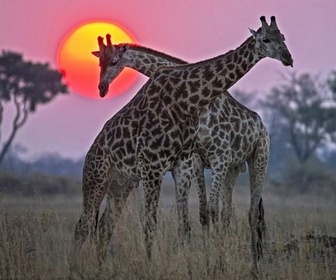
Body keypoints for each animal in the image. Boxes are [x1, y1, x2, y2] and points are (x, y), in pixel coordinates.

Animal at [75, 15, 292, 274]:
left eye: (283, 37)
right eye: (100, 62)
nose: (288, 59)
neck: (186, 100)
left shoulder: (196, 162)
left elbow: (195, 218)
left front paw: (202, 265)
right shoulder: (172, 165)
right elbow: (184, 218)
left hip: (256, 159)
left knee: (249, 213)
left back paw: (255, 266)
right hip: (100, 179)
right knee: (87, 225)